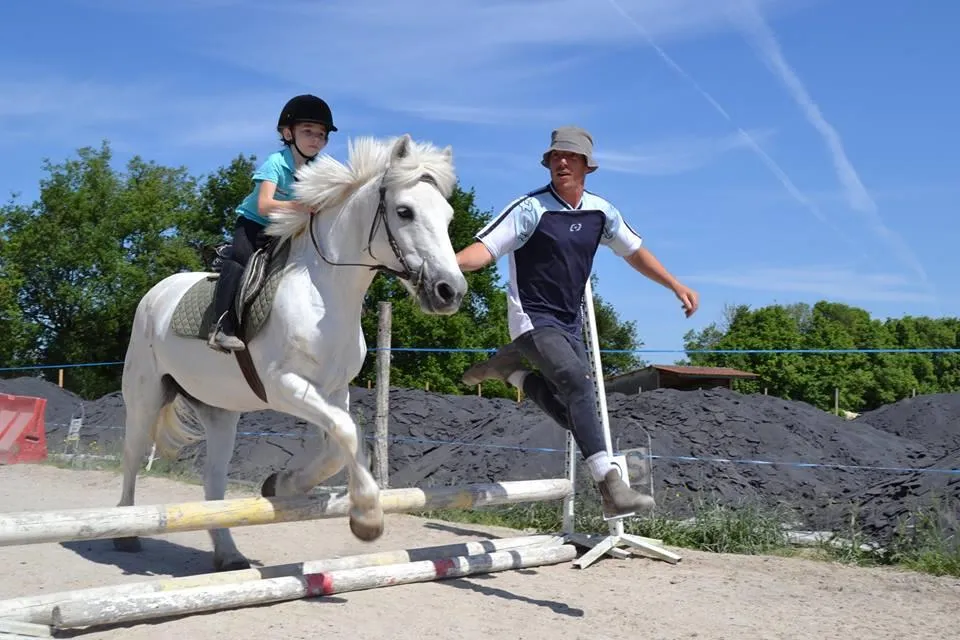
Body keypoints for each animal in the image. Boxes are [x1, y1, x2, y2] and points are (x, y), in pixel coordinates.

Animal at [114, 135, 466, 568]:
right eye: (405, 212)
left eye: (448, 217)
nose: (450, 291)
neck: (325, 293)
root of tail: (158, 291)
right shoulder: (283, 386)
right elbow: (347, 432)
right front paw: (367, 517)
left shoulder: (332, 391)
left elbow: (342, 442)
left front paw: (281, 485)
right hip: (145, 394)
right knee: (133, 455)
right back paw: (127, 533)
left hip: (220, 410)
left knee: (213, 481)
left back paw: (229, 554)